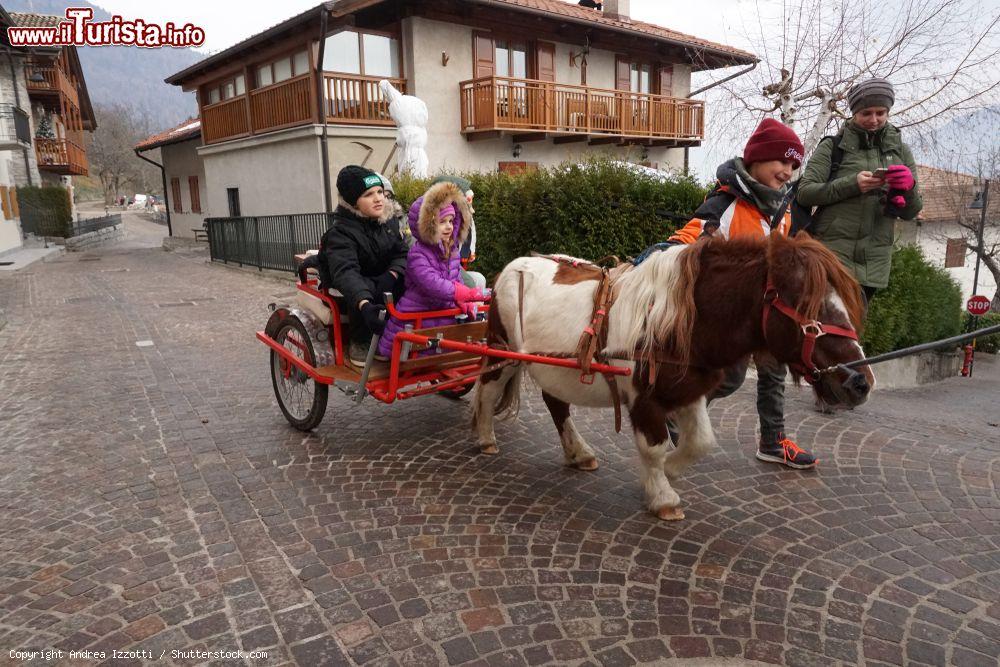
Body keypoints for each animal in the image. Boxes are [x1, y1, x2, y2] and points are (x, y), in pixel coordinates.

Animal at [472, 235, 872, 520]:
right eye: (809, 305)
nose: (861, 382)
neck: (678, 322)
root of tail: (514, 266)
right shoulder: (644, 400)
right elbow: (654, 446)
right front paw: (663, 496)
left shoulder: (689, 392)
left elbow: (701, 442)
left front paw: (671, 470)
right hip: (505, 352)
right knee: (489, 392)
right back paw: (486, 438)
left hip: (551, 365)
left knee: (556, 403)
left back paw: (579, 452)